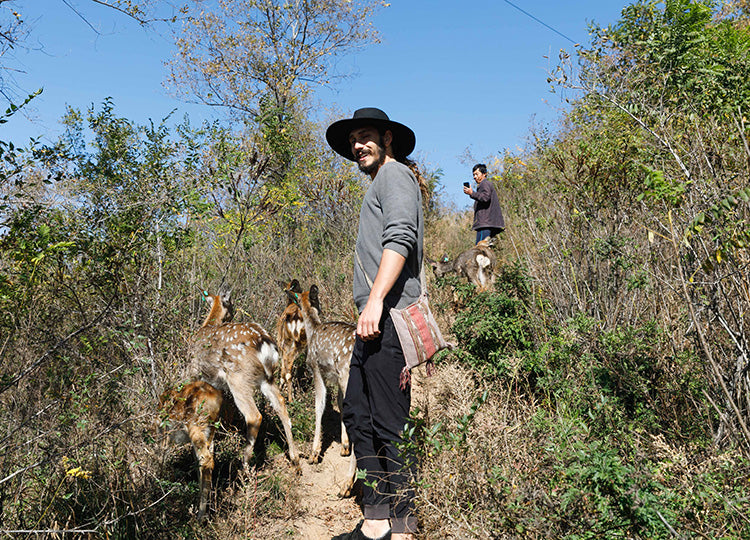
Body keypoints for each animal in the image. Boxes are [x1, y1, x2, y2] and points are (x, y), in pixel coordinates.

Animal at [187, 288, 302, 470]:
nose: (233, 314)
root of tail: (266, 345)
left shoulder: (193, 371)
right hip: (267, 378)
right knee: (281, 404)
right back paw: (295, 458)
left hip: (238, 378)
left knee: (254, 415)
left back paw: (244, 466)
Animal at [286, 282, 360, 498]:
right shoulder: (336, 377)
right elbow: (340, 404)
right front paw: (344, 445)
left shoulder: (316, 369)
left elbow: (319, 405)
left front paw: (314, 453)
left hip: (348, 374)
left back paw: (346, 485)